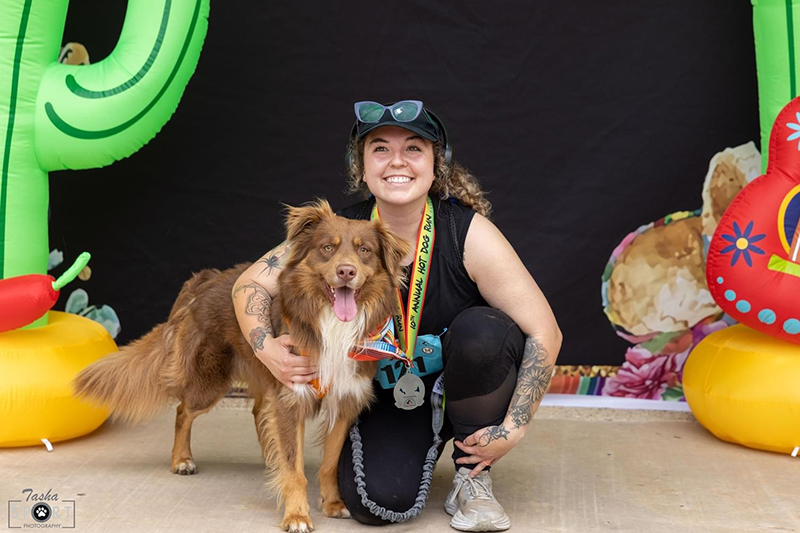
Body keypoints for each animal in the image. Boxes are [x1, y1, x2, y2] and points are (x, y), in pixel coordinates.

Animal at [72, 201, 410, 532]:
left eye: (364, 250)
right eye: (328, 247)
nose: (346, 271)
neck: (331, 323)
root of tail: (206, 279)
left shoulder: (345, 399)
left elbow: (328, 463)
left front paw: (332, 503)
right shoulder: (291, 397)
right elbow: (294, 467)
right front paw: (296, 515)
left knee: (258, 412)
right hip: (211, 381)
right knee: (183, 411)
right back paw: (182, 459)